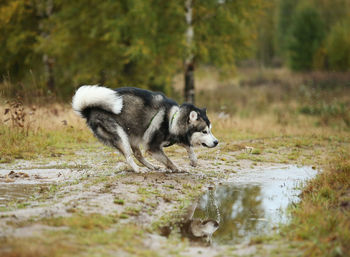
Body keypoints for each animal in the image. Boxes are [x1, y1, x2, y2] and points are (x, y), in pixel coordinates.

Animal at [72, 85, 217, 172]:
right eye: (204, 131)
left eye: (210, 129)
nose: (216, 142)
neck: (172, 120)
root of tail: (89, 110)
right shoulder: (153, 147)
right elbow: (168, 160)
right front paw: (176, 168)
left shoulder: (177, 137)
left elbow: (188, 146)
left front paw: (193, 160)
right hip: (121, 136)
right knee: (129, 156)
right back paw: (137, 169)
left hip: (133, 136)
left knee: (138, 155)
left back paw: (151, 166)